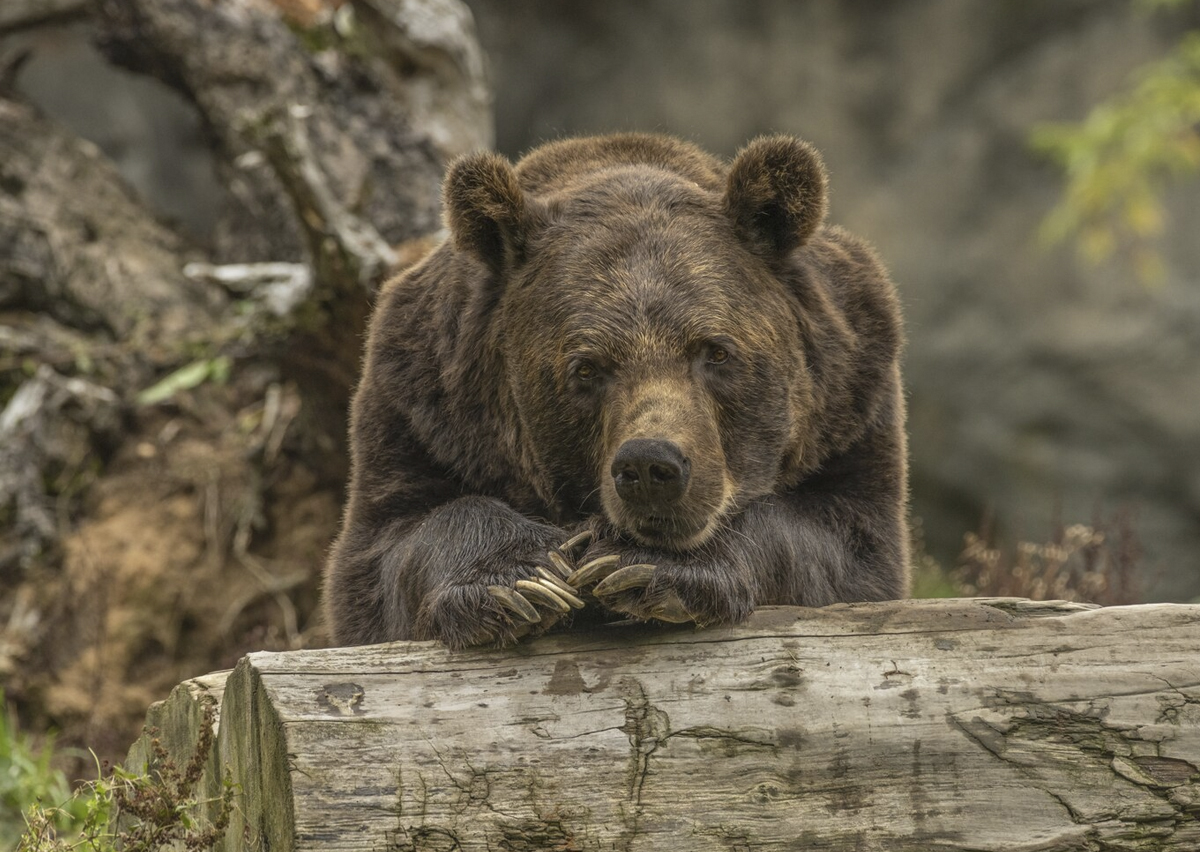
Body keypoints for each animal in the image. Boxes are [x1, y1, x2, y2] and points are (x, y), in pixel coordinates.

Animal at [324, 133, 902, 652]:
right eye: (587, 367)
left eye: (715, 351)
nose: (650, 466)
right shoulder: (421, 410)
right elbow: (389, 548)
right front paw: (523, 580)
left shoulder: (851, 402)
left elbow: (845, 547)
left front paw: (642, 564)